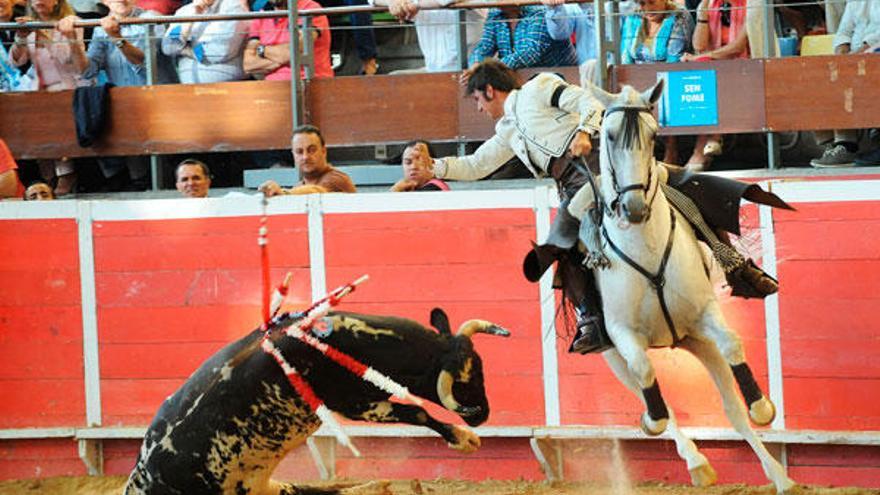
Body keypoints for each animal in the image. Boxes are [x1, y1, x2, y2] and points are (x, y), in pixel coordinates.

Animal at [124, 308, 508, 494]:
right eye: (465, 380)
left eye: (481, 368)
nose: (482, 413)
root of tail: (140, 478)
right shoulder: (355, 402)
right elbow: (415, 411)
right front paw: (463, 438)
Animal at [580, 83, 800, 494]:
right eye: (610, 135)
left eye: (653, 136)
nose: (634, 207)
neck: (646, 249)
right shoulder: (622, 334)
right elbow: (647, 376)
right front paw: (651, 422)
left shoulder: (704, 311)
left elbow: (732, 344)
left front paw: (763, 407)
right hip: (612, 356)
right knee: (651, 392)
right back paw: (695, 461)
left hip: (695, 340)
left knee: (731, 408)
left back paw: (780, 477)